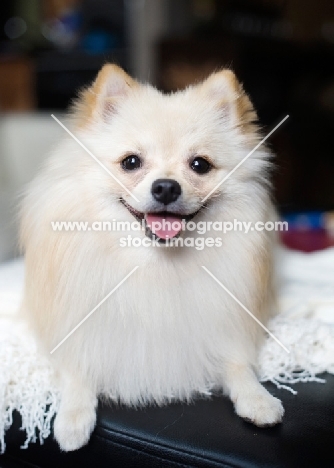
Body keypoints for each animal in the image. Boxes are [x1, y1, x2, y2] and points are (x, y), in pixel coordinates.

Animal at [19, 64, 284, 452]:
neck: (156, 264)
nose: (166, 187)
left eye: (200, 165)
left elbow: (238, 364)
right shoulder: (75, 327)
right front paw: (72, 418)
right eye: (131, 162)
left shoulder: (225, 323)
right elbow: (76, 368)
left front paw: (258, 399)